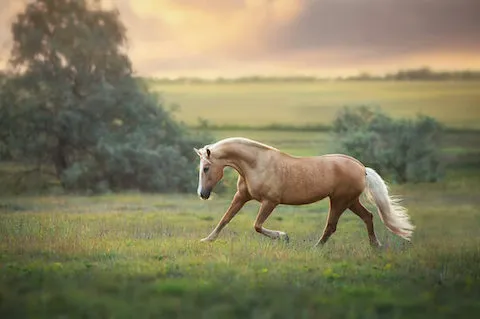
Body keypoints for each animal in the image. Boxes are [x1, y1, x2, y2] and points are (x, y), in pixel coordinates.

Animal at [193, 138, 414, 248]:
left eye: (206, 168)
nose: (202, 194)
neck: (256, 164)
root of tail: (362, 168)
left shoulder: (270, 202)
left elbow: (257, 225)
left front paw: (283, 237)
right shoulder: (241, 197)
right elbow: (225, 219)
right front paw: (206, 240)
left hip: (340, 201)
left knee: (331, 226)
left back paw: (316, 249)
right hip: (350, 201)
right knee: (368, 217)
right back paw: (375, 245)